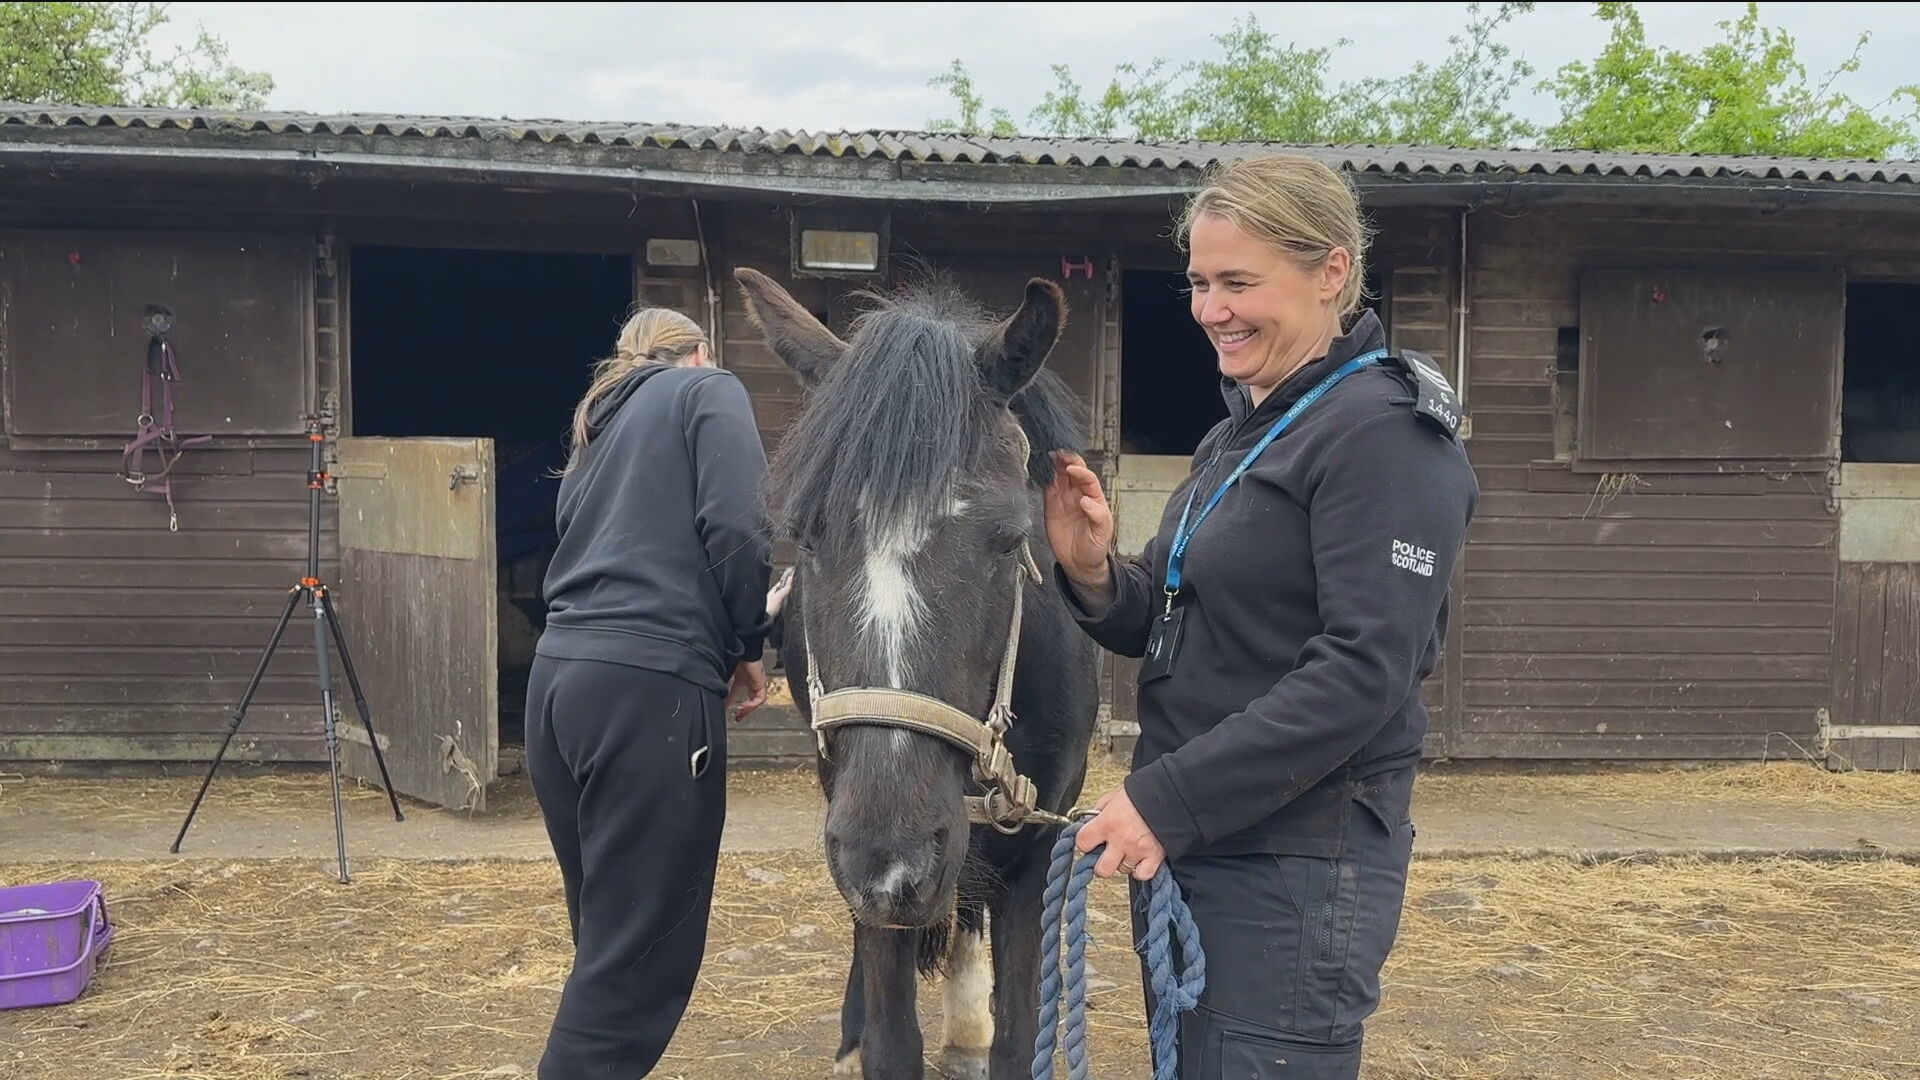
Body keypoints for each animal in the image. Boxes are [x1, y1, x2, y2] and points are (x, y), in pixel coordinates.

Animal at [729, 267, 1098, 1076]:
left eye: (1010, 542)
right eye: (804, 536)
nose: (891, 863)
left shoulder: (1035, 842)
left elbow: (1019, 1034)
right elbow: (891, 1039)